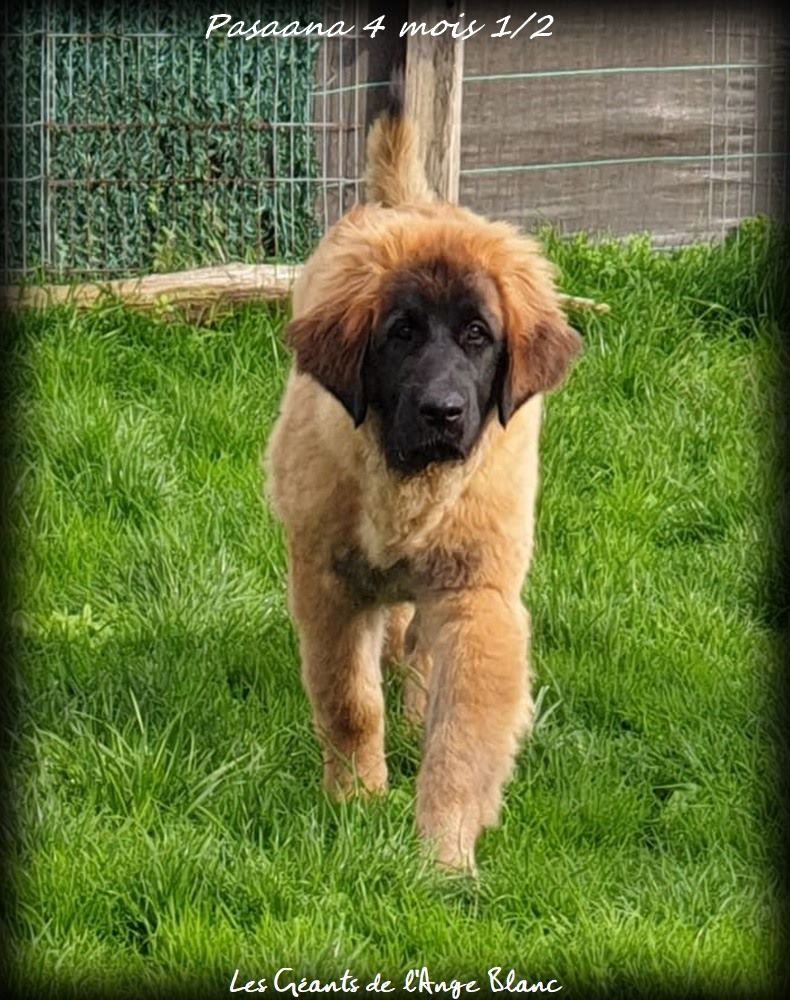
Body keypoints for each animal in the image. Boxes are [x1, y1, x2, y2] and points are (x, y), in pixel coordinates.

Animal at [264, 96, 581, 870]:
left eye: (477, 335)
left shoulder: (477, 598)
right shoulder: (328, 583)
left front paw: (443, 857)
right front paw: (355, 801)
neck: (405, 484)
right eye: (401, 334)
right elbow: (349, 702)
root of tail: (408, 200)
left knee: (418, 649)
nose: (443, 411)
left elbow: (462, 736)